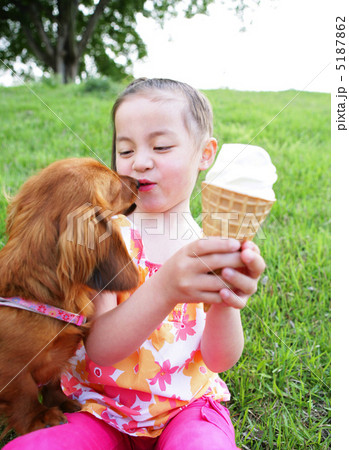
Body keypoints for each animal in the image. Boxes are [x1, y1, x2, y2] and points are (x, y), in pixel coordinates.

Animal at [0, 158, 139, 436]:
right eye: (115, 184)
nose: (139, 182)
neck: (31, 291)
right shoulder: (11, 370)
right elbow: (25, 395)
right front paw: (39, 418)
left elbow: (53, 381)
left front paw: (61, 402)